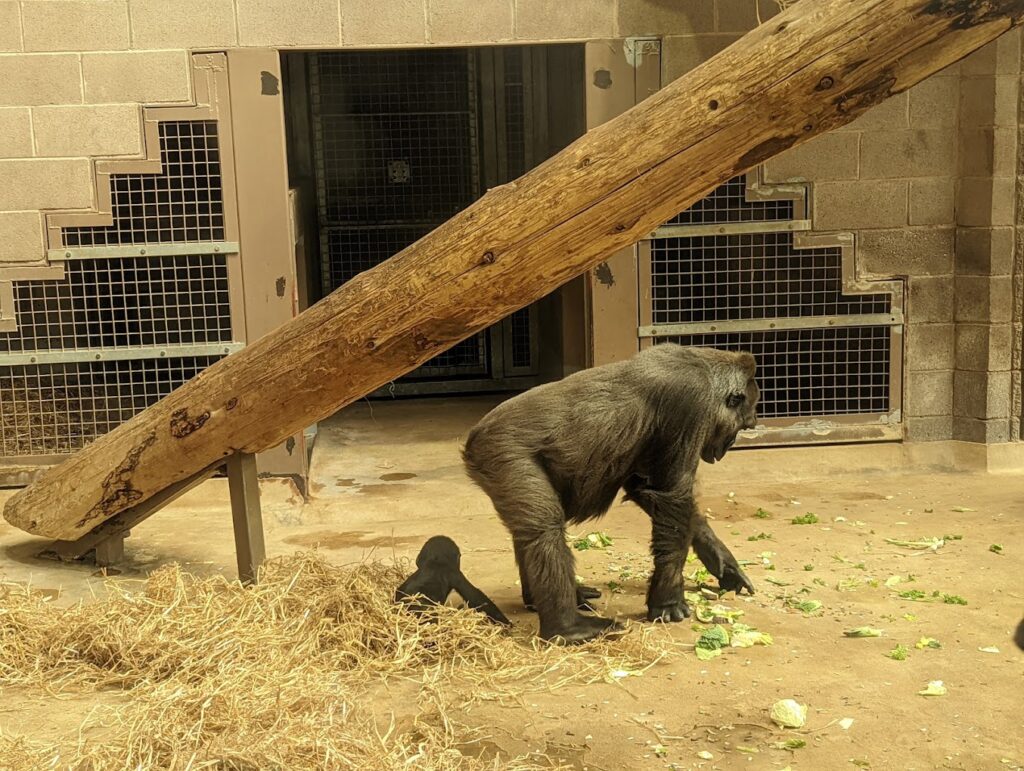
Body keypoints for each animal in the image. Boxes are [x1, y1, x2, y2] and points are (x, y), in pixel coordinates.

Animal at [462, 344, 758, 643]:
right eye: (743, 425)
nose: (731, 443)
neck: (705, 367)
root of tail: (473, 437)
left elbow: (648, 491)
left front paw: (721, 560)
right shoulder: (691, 401)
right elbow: (672, 495)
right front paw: (668, 600)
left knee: (530, 530)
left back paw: (548, 599)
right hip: (501, 452)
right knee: (544, 531)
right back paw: (567, 628)